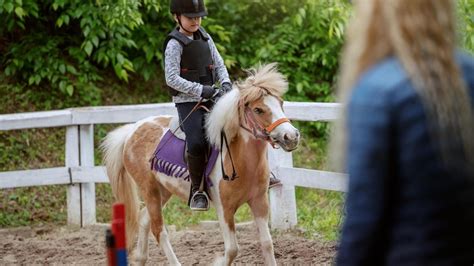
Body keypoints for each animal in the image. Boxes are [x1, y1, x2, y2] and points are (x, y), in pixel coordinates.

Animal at [100, 63, 300, 264]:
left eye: (281, 103)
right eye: (258, 110)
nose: (291, 136)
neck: (241, 162)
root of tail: (132, 131)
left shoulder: (259, 203)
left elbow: (267, 244)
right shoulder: (224, 209)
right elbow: (232, 250)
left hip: (162, 190)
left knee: (143, 219)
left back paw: (140, 258)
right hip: (149, 190)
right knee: (159, 230)